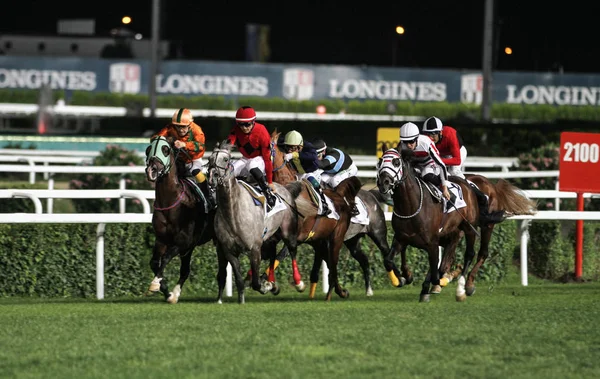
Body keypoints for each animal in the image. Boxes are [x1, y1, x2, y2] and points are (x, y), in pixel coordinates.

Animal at [209, 140, 300, 306]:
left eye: (225, 159)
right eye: (211, 159)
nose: (213, 176)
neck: (232, 213)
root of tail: (283, 188)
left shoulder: (255, 248)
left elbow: (256, 282)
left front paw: (266, 286)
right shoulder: (229, 250)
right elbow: (239, 279)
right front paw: (242, 299)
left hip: (287, 231)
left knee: (291, 251)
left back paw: (298, 282)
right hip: (270, 238)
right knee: (273, 255)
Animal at [378, 144, 536, 304]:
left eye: (396, 162)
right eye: (380, 162)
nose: (383, 182)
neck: (411, 206)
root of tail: (490, 184)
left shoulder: (433, 242)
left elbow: (437, 271)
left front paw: (441, 281)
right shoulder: (402, 238)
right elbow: (389, 260)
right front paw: (402, 279)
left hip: (477, 227)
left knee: (475, 254)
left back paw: (464, 286)